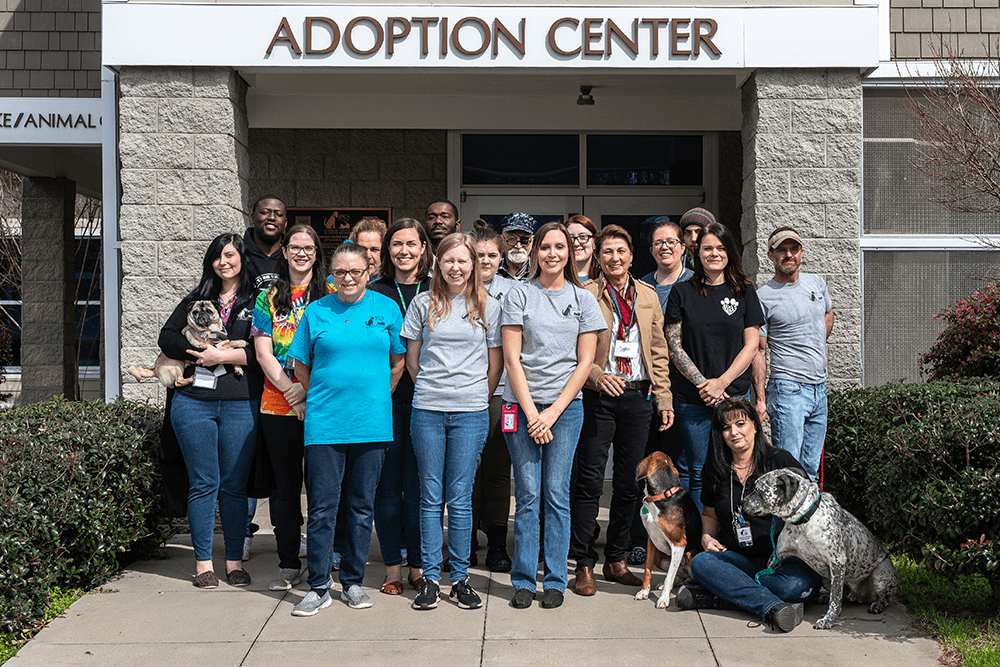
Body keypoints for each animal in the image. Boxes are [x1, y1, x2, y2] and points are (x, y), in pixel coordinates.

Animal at [636, 452, 700, 608]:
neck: (660, 496)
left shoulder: (679, 544)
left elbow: (669, 577)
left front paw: (664, 599)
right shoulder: (651, 539)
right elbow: (647, 570)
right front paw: (644, 592)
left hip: (689, 556)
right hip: (661, 558)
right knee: (680, 576)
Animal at [744, 468, 900, 628]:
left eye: (758, 490)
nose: (742, 502)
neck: (803, 521)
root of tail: (858, 596)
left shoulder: (837, 563)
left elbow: (835, 599)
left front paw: (828, 620)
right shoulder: (777, 556)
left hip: (881, 572)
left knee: (883, 597)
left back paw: (877, 604)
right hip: (825, 578)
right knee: (842, 596)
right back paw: (825, 597)